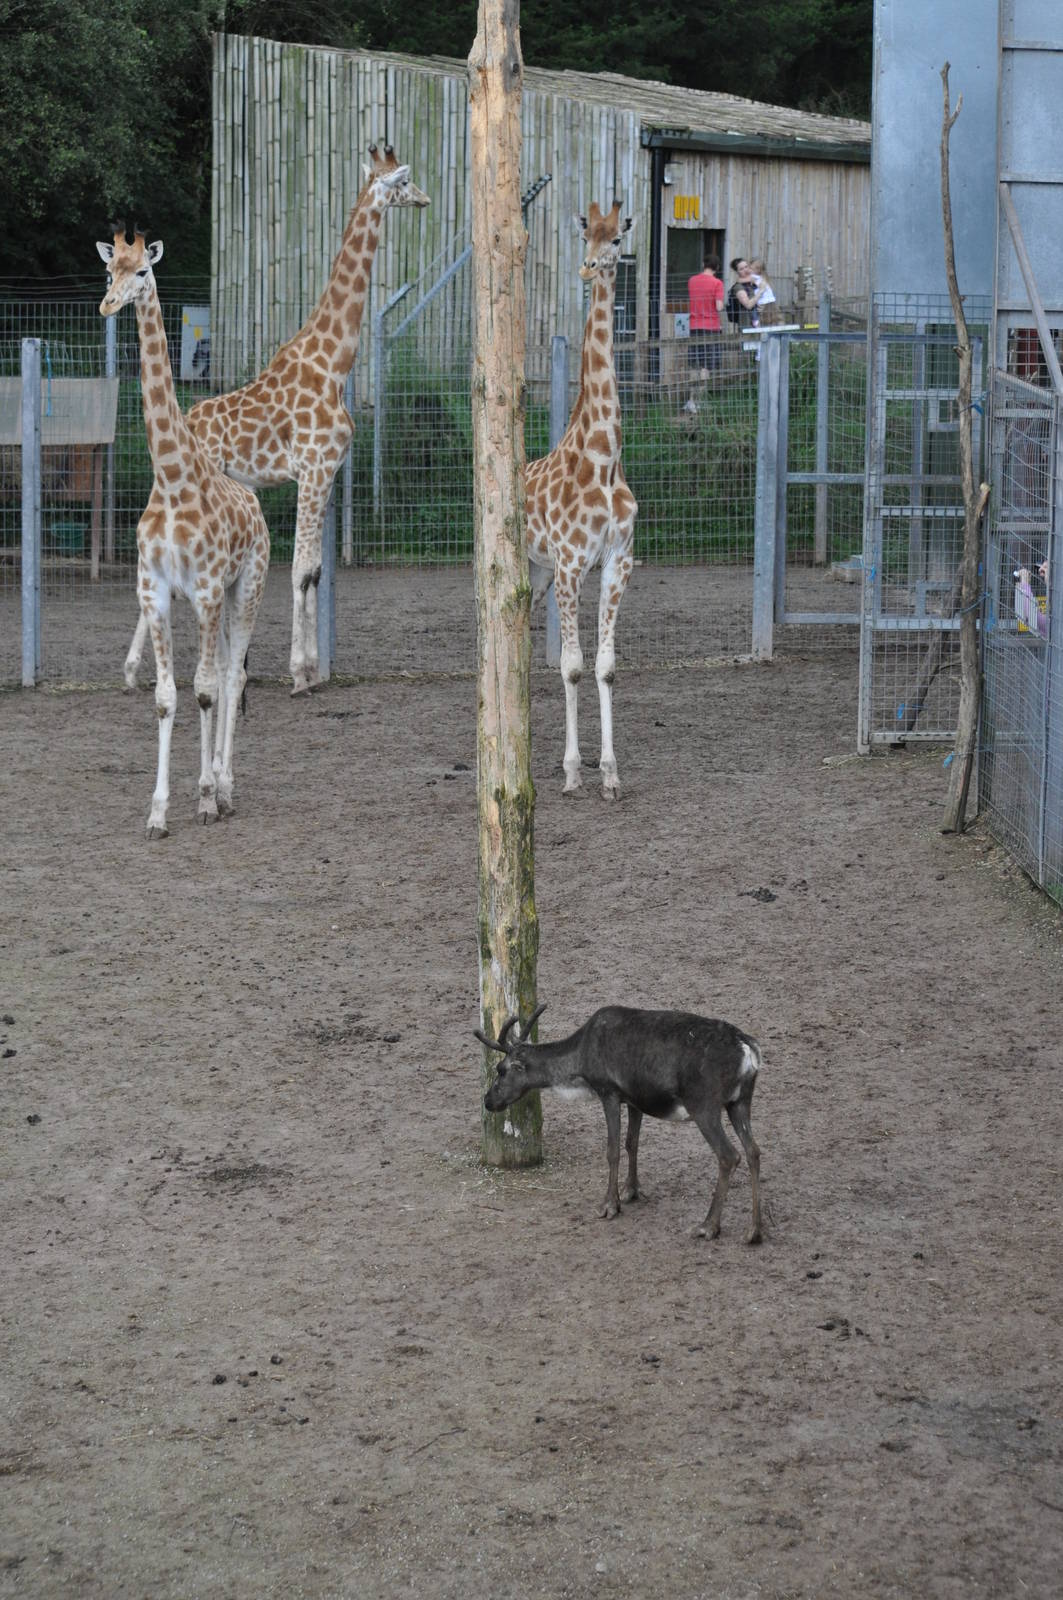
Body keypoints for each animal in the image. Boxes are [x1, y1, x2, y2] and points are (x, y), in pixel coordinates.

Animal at [99, 226, 270, 839]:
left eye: (144, 271)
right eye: (109, 270)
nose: (108, 304)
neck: (172, 481)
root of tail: (255, 502)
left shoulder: (207, 589)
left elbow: (204, 690)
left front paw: (203, 798)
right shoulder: (154, 591)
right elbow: (168, 696)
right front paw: (158, 811)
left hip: (247, 587)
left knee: (232, 677)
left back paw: (225, 786)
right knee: (223, 674)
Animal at [125, 143, 429, 695]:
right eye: (401, 181)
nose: (425, 198)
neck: (333, 362)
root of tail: (187, 422)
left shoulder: (327, 471)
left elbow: (315, 571)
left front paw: (311, 667)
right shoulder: (313, 468)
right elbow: (301, 569)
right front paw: (301, 672)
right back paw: (139, 669)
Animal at [477, 1004, 764, 1243]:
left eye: (501, 1070)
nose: (488, 1100)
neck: (578, 1067)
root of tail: (749, 1051)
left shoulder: (609, 1092)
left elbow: (612, 1150)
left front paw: (609, 1205)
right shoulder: (635, 1100)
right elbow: (631, 1143)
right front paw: (630, 1191)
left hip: (705, 1106)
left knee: (729, 1155)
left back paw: (708, 1226)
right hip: (740, 1101)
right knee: (754, 1151)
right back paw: (754, 1231)